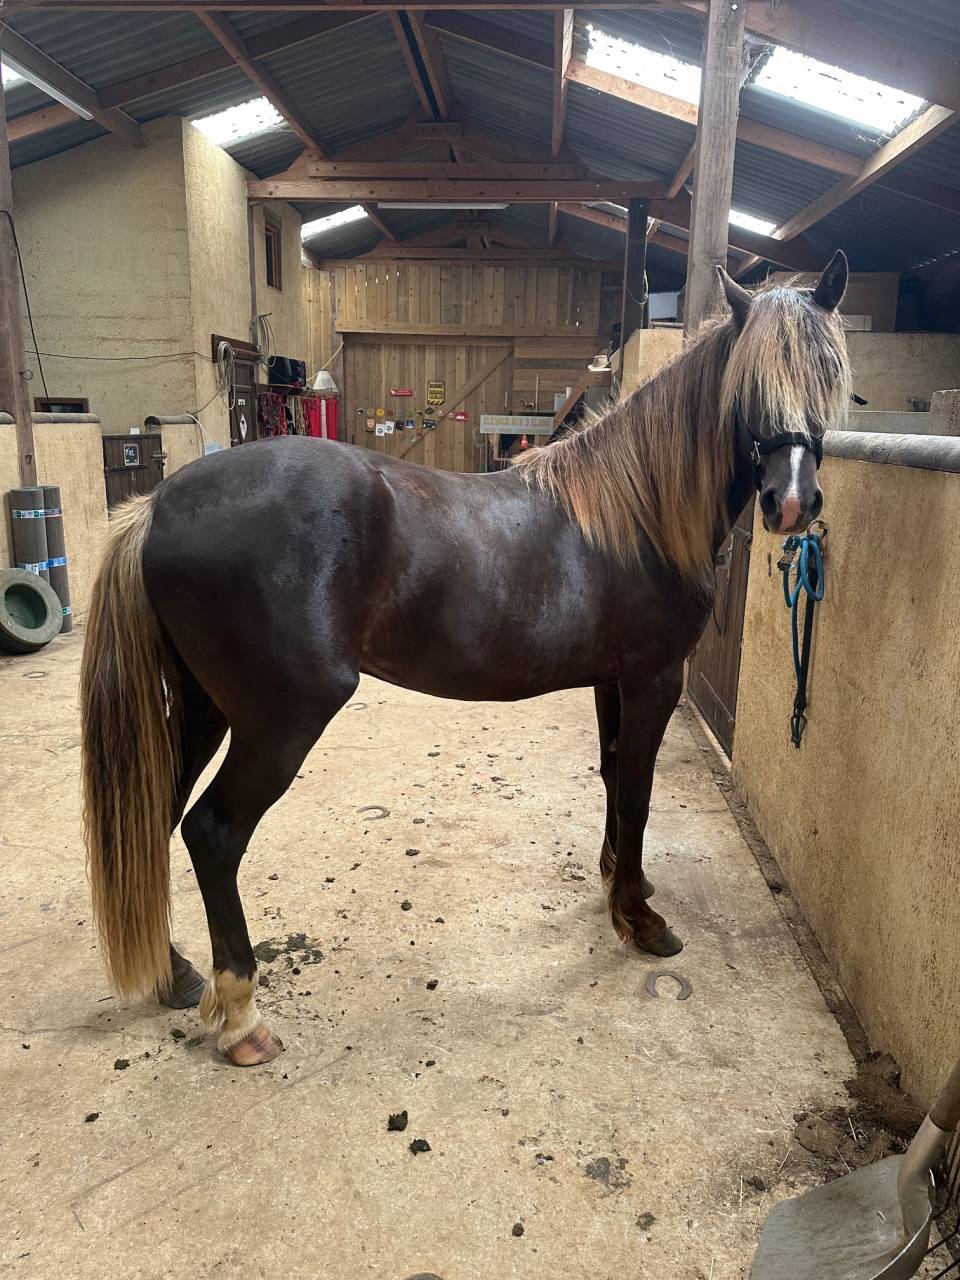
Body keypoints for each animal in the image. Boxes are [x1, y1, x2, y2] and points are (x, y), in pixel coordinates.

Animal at [80, 257, 851, 1067]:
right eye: (750, 386)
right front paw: (642, 922)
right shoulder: (652, 680)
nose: (792, 504)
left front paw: (619, 889)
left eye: (829, 376)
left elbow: (614, 780)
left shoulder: (613, 681)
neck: (633, 513)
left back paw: (176, 973)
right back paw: (240, 1019)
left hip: (202, 708)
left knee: (156, 818)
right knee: (213, 834)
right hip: (278, 721)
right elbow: (638, 793)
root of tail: (158, 508)